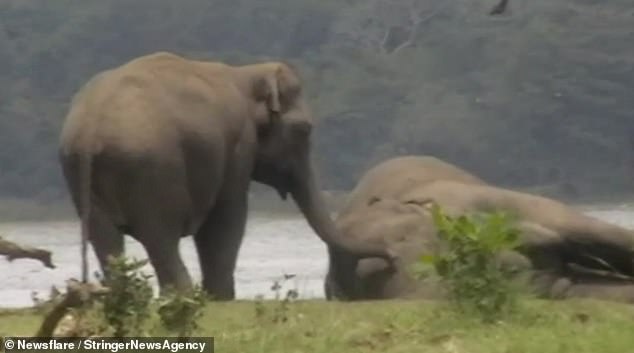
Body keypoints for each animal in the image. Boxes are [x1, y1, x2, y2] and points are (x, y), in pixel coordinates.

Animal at [60, 51, 396, 298]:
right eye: (304, 130)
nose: (391, 256)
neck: (244, 73)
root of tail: (89, 130)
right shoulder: (238, 145)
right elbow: (228, 218)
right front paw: (220, 298)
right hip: (153, 171)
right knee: (160, 235)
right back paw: (184, 297)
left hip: (80, 174)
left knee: (105, 238)